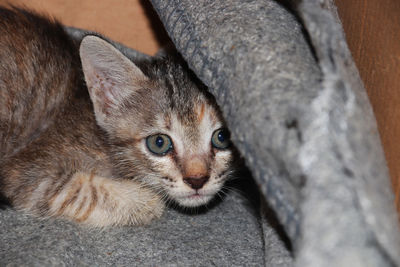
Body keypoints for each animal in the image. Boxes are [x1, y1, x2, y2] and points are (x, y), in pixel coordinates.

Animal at [0, 7, 234, 226]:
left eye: (222, 137)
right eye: (159, 143)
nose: (197, 180)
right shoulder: (26, 171)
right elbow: (79, 190)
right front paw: (144, 198)